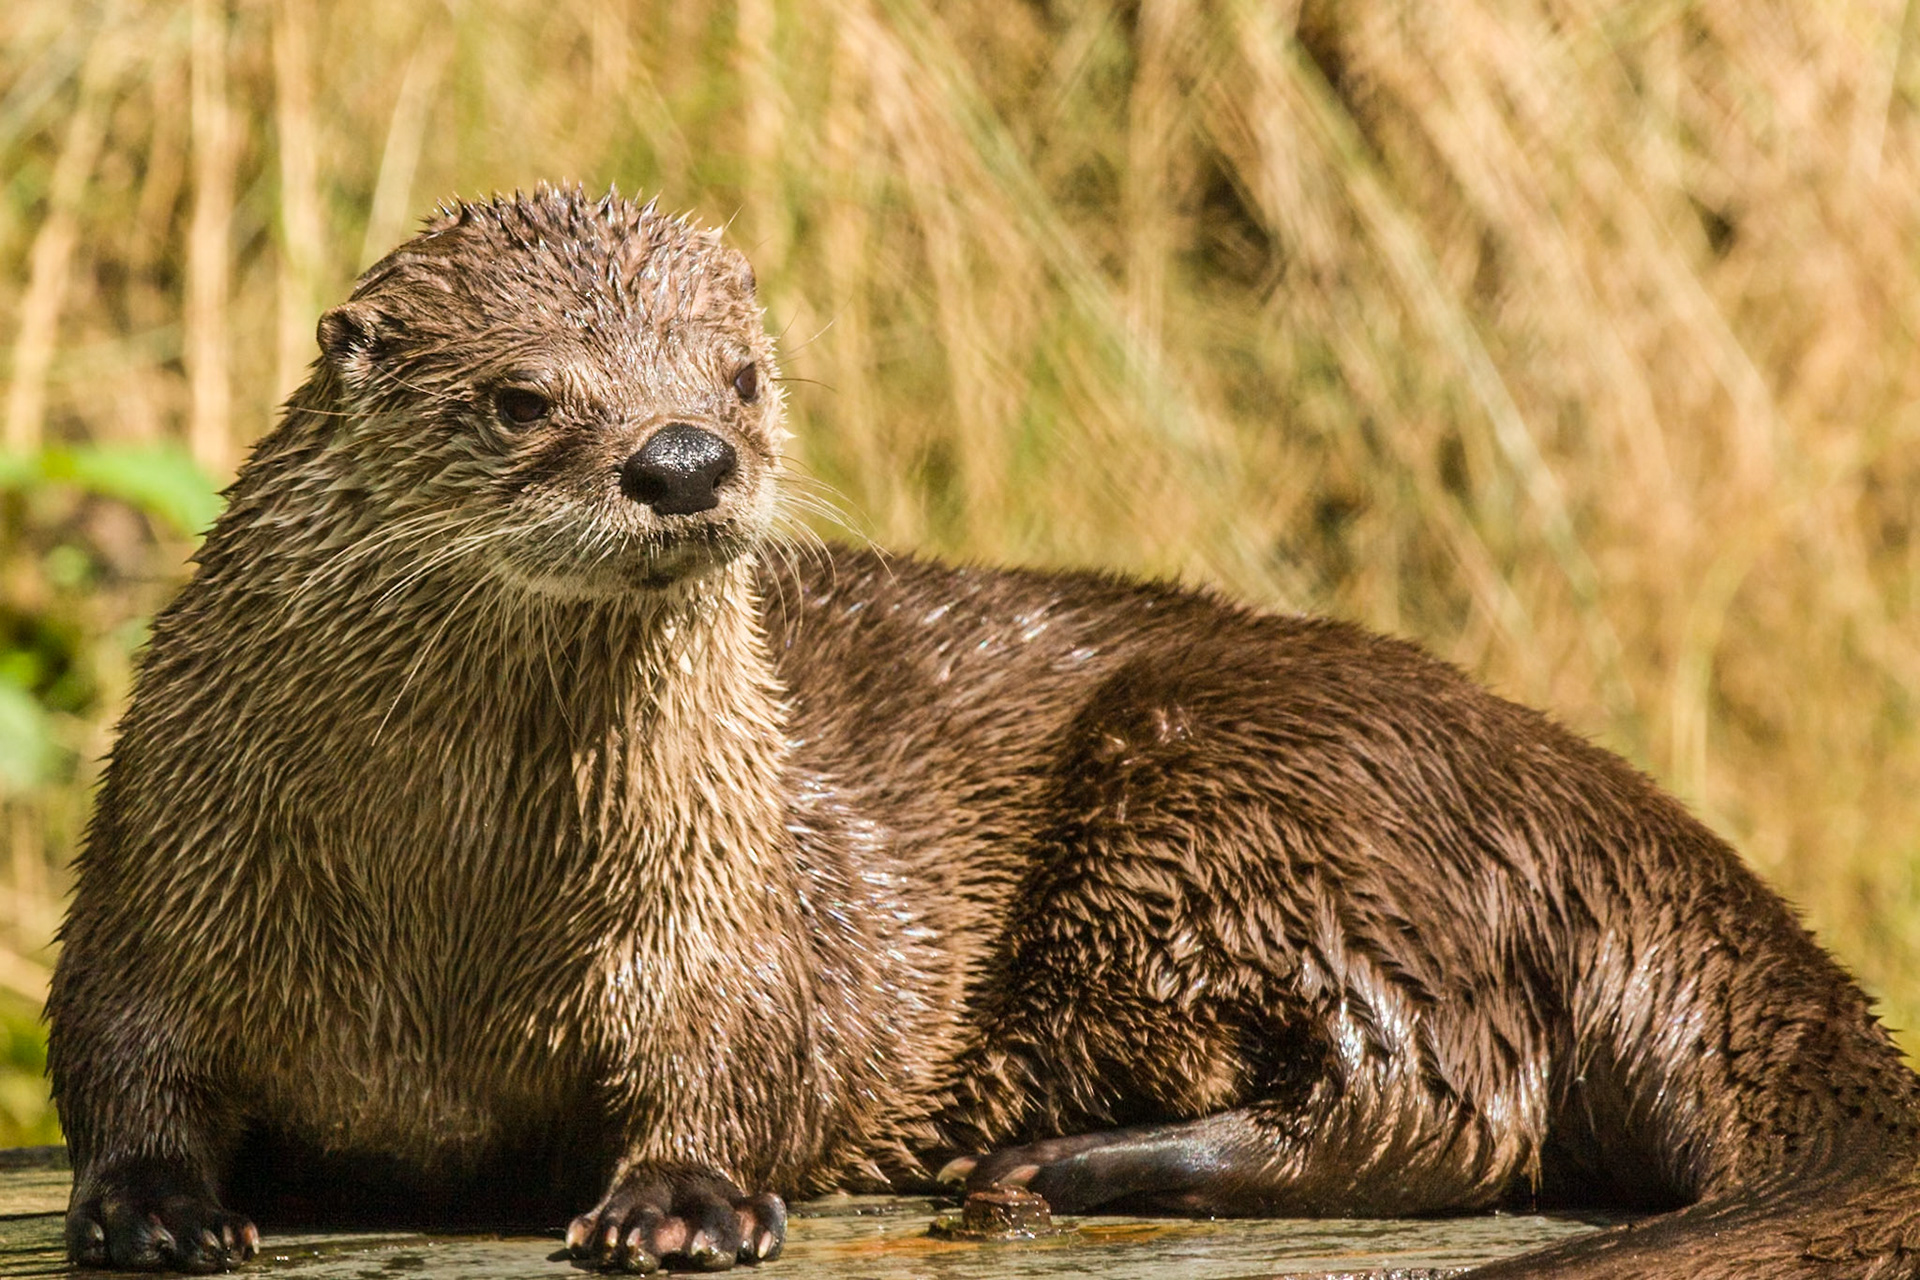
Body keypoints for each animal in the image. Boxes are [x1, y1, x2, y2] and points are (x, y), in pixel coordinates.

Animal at [46, 187, 1920, 1278]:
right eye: (521, 395)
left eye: (741, 377)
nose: (680, 458)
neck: (444, 920)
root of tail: (1583, 795)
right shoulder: (158, 875)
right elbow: (118, 1062)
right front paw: (154, 1204)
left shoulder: (729, 905)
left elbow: (744, 1053)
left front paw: (682, 1200)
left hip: (1247, 792)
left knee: (1451, 1099)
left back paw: (1052, 1167)